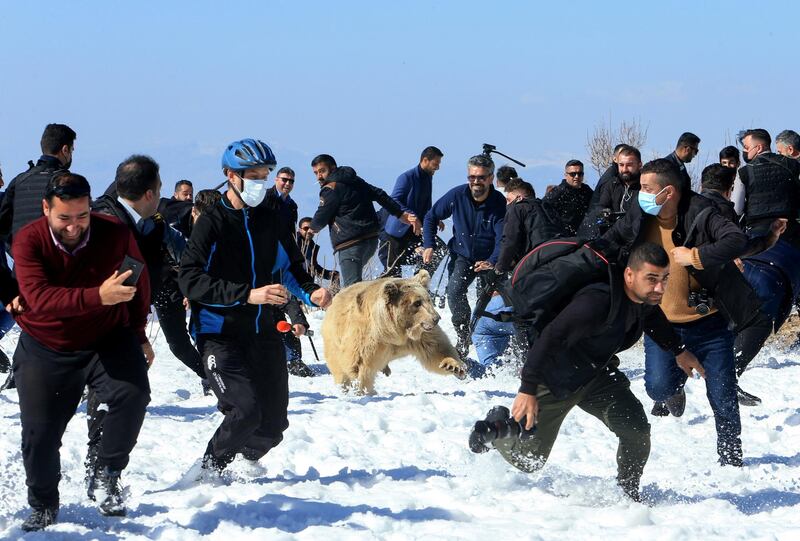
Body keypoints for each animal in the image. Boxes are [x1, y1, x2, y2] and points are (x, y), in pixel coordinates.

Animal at [320, 268, 466, 392]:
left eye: (428, 299)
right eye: (417, 303)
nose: (436, 318)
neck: (395, 332)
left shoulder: (420, 336)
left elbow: (436, 349)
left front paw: (454, 366)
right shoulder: (368, 337)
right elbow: (359, 364)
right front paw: (364, 389)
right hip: (333, 339)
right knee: (338, 367)